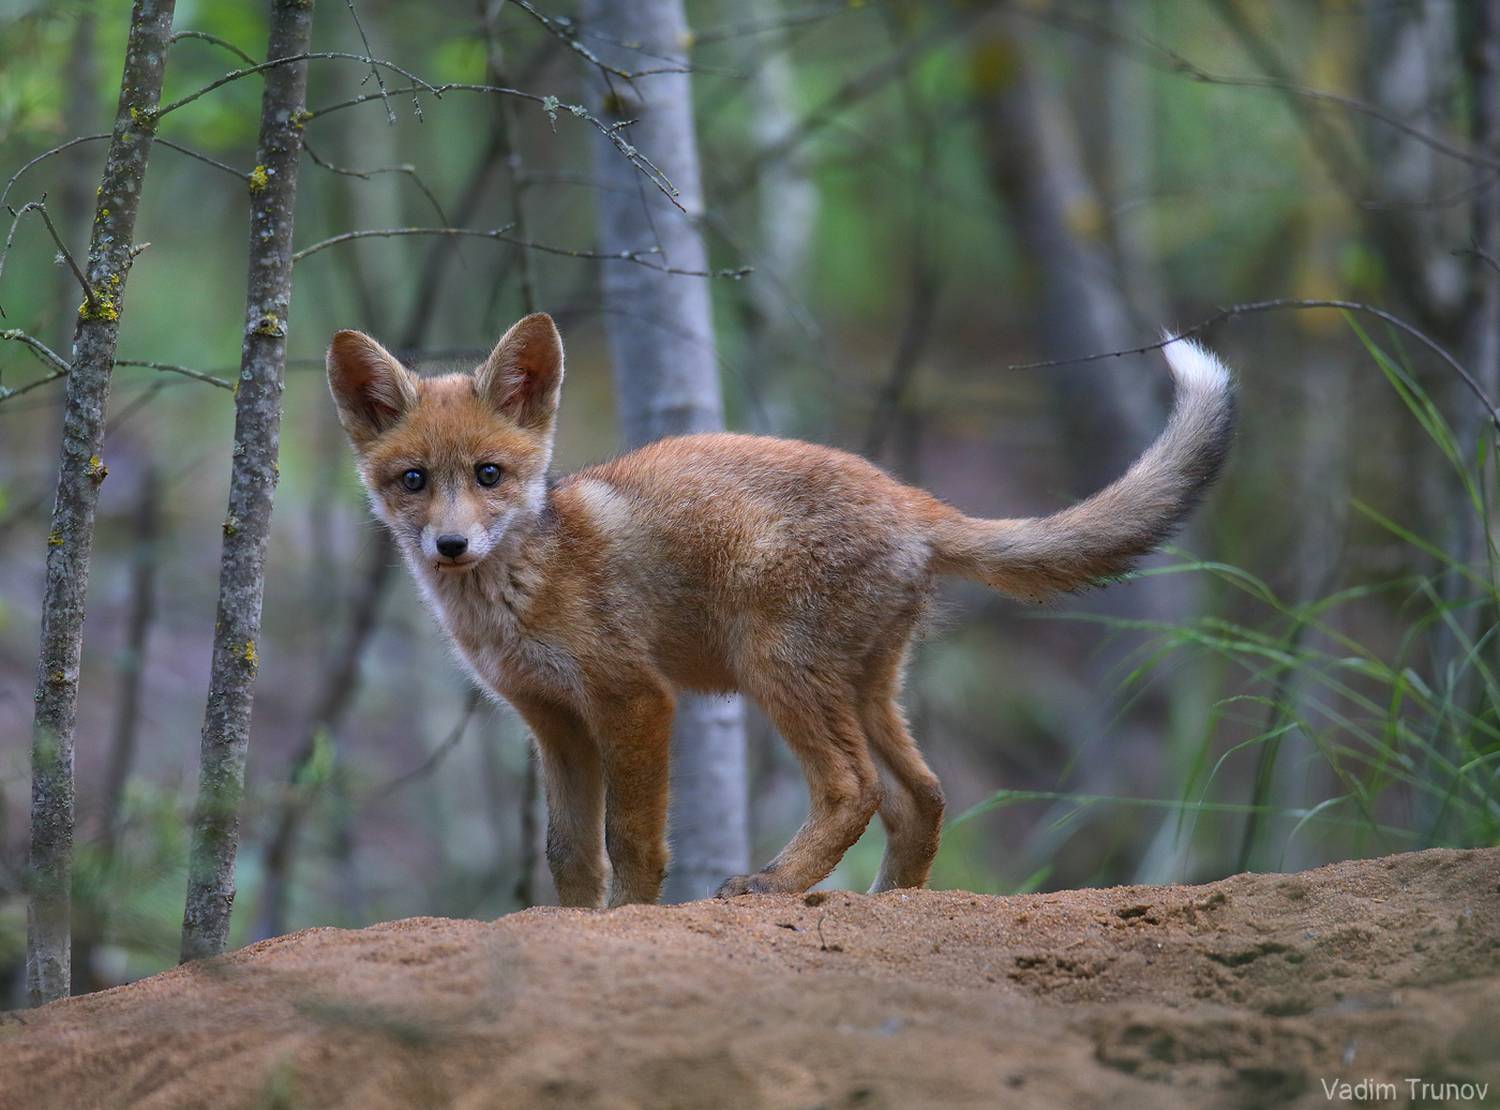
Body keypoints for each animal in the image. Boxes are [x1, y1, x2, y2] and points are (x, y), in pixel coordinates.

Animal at [327, 312, 1234, 908]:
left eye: (489, 475)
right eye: (413, 480)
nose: (450, 546)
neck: (525, 586)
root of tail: (915, 501)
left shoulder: (633, 699)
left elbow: (634, 845)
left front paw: (631, 921)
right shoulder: (554, 721)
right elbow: (570, 858)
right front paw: (576, 926)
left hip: (777, 669)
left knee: (853, 789)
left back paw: (772, 883)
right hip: (864, 686)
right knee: (923, 795)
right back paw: (888, 905)